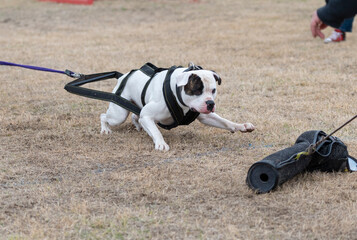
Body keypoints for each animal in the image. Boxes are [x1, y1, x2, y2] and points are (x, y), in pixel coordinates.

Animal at [99, 62, 253, 151]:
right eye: (197, 90)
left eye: (213, 90)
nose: (210, 103)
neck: (176, 92)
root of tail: (122, 76)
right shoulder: (147, 115)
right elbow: (156, 132)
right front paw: (160, 143)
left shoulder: (206, 117)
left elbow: (225, 122)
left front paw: (241, 126)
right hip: (118, 115)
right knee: (104, 116)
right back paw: (105, 129)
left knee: (135, 116)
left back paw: (137, 126)